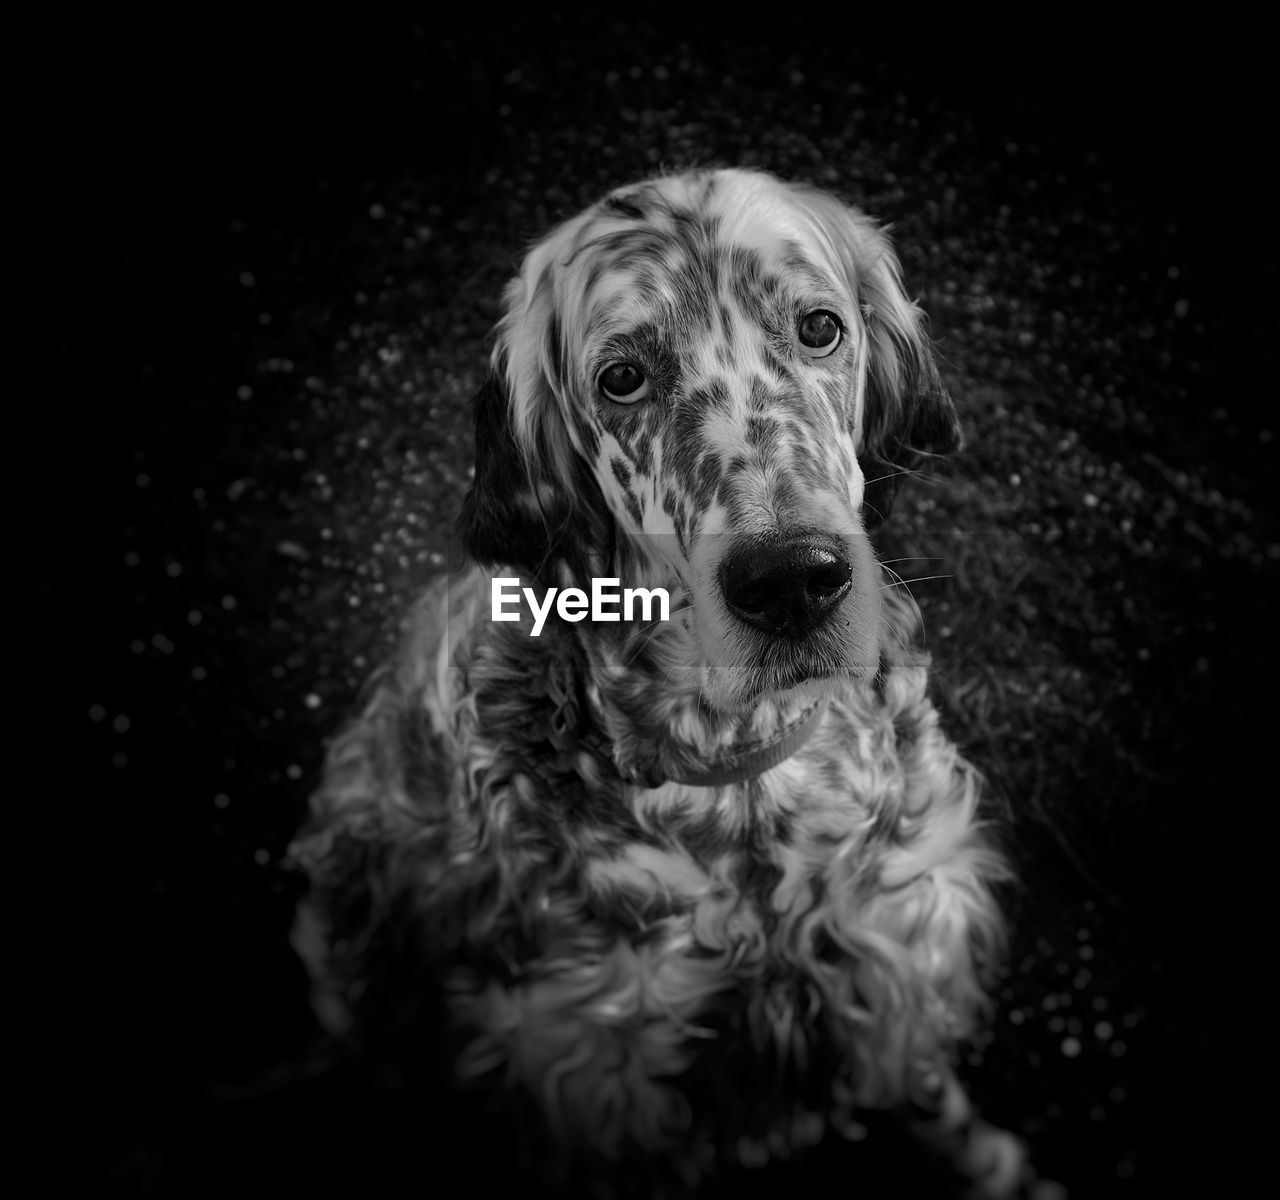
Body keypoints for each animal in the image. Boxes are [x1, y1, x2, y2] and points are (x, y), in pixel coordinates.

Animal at [293, 168, 1059, 1197]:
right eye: (622, 379)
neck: (745, 785)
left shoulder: (896, 945)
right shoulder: (595, 1070)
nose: (793, 580)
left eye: (821, 327)